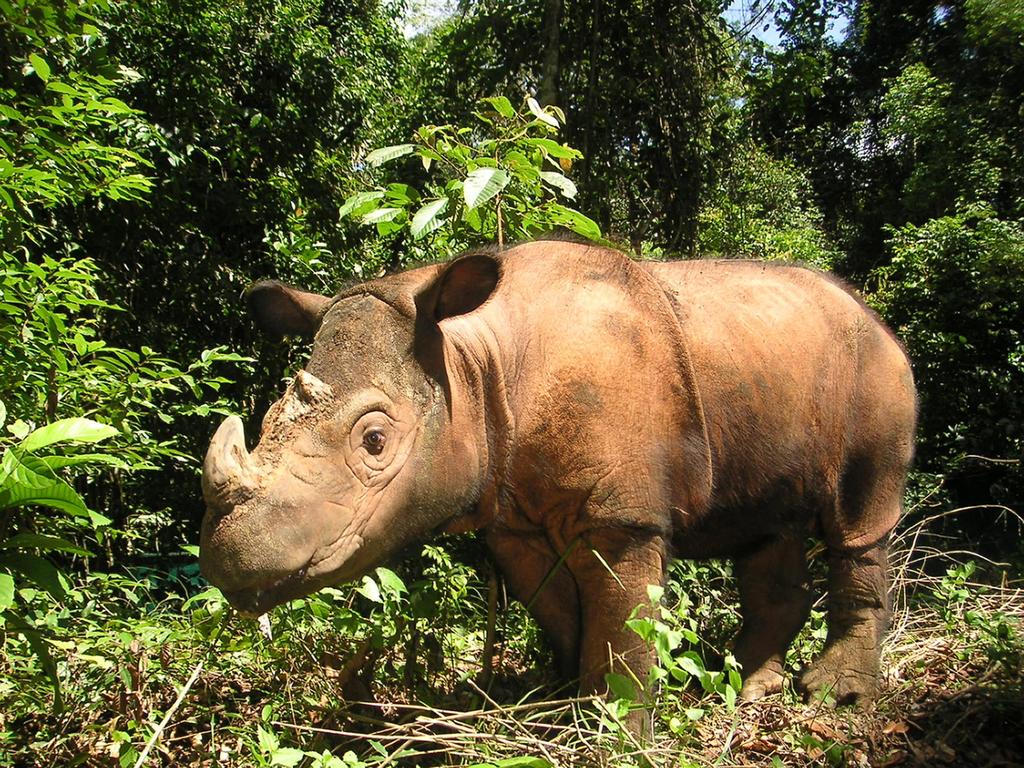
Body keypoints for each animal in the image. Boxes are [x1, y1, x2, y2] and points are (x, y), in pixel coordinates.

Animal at [199, 239, 916, 705]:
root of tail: (877, 317)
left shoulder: (627, 516)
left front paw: (616, 727)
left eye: (375, 440)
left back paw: (835, 698)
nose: (230, 559)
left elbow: (623, 627)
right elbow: (562, 613)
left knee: (859, 520)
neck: (470, 357)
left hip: (876, 370)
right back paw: (747, 690)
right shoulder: (512, 514)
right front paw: (560, 703)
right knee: (770, 528)